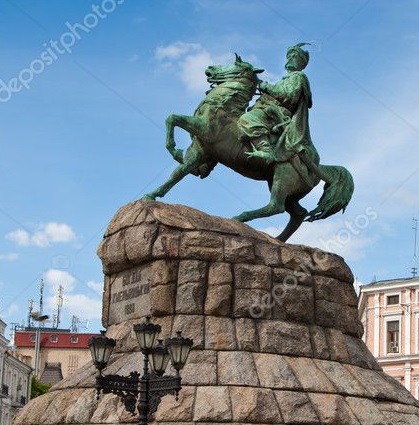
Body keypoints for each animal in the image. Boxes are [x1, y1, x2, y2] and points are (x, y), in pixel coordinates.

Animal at [144, 54, 354, 240]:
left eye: (236, 63)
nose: (209, 68)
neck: (222, 107)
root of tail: (318, 166)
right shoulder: (200, 151)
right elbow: (178, 172)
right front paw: (154, 193)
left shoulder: (203, 129)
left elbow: (173, 118)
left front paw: (172, 149)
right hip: (285, 188)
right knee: (297, 213)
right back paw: (278, 239)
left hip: (283, 179)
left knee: (275, 206)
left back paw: (241, 217)